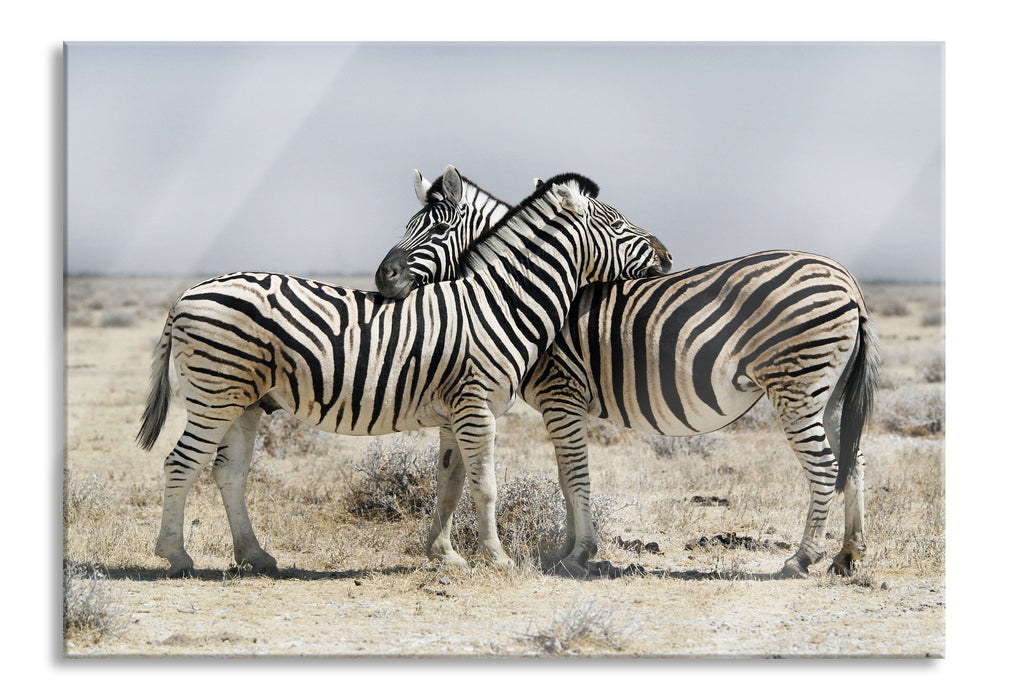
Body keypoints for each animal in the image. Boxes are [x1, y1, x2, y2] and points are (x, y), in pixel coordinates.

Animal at [137, 171, 671, 577]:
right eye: (618, 222)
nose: (667, 256)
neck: (500, 303)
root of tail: (186, 295)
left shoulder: (455, 413)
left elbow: (450, 483)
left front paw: (446, 555)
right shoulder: (476, 408)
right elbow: (486, 485)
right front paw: (497, 558)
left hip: (244, 401)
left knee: (228, 471)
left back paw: (255, 555)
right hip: (215, 393)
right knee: (180, 464)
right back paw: (176, 556)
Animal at [375, 167, 879, 579]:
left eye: (438, 228)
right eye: (407, 226)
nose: (383, 277)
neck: (516, 293)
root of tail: (849, 281)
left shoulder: (562, 394)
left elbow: (576, 475)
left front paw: (579, 554)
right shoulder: (562, 405)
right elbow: (565, 477)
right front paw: (567, 550)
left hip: (796, 386)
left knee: (824, 466)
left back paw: (802, 558)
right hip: (828, 391)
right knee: (852, 460)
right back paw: (848, 555)